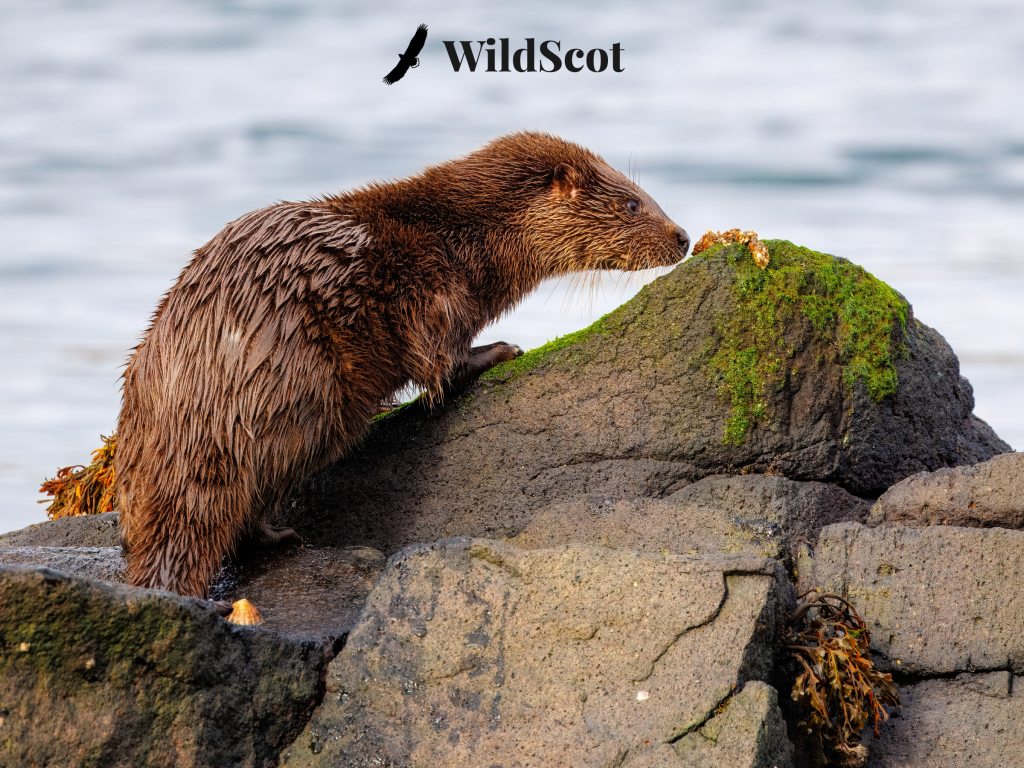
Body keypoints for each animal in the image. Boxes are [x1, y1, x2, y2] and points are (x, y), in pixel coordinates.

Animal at [116, 131, 690, 598]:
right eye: (634, 203)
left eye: (647, 196)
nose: (683, 237)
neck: (463, 237)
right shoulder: (433, 289)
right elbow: (441, 364)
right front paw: (503, 349)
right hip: (303, 392)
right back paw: (281, 533)